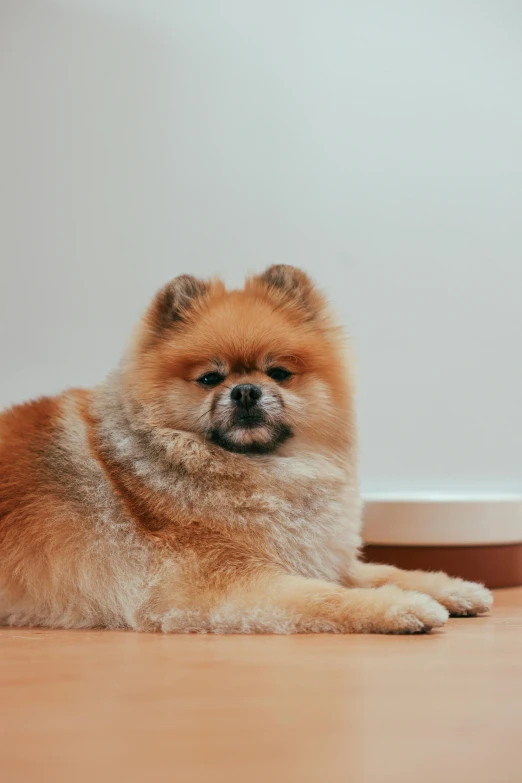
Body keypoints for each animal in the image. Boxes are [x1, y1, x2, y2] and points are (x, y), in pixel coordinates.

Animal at [0, 266, 490, 632]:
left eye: (278, 373)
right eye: (210, 378)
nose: (246, 391)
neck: (260, 469)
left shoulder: (314, 555)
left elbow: (382, 571)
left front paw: (455, 587)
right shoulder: (220, 584)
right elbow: (325, 596)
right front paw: (405, 606)